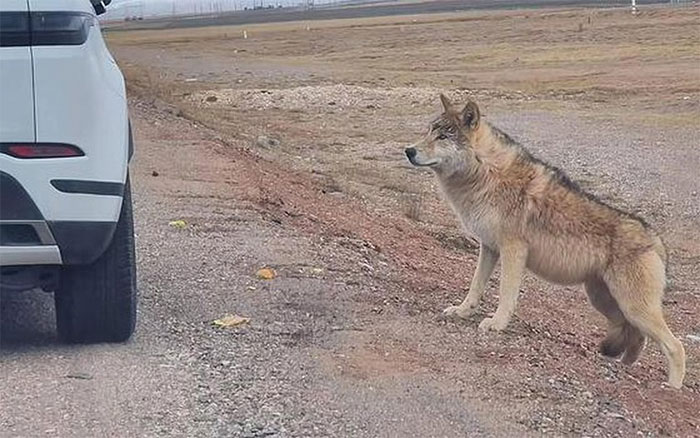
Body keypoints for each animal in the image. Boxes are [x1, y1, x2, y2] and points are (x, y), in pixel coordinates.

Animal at [404, 95, 684, 386]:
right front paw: (462, 311)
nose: (408, 151)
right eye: (429, 131)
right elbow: (475, 287)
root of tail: (657, 241)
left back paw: (671, 386)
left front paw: (496, 324)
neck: (485, 170)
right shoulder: (489, 248)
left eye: (443, 136)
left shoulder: (513, 250)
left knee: (676, 346)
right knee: (636, 337)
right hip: (606, 302)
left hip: (633, 309)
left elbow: (506, 294)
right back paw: (622, 367)